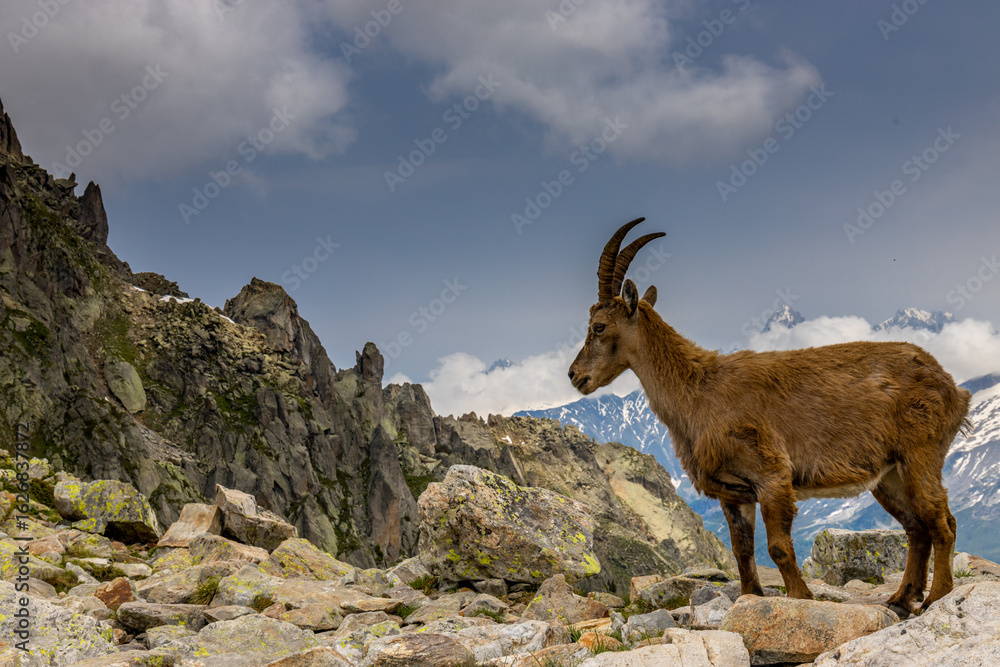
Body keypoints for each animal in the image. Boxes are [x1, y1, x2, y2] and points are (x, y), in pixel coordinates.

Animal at [568, 218, 971, 614]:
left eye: (598, 326)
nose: (574, 375)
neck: (697, 392)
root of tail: (951, 385)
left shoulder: (772, 477)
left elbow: (777, 547)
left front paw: (801, 599)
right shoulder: (734, 492)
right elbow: (741, 550)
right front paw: (751, 597)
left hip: (920, 454)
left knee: (942, 522)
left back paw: (936, 596)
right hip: (889, 475)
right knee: (916, 527)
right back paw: (902, 598)